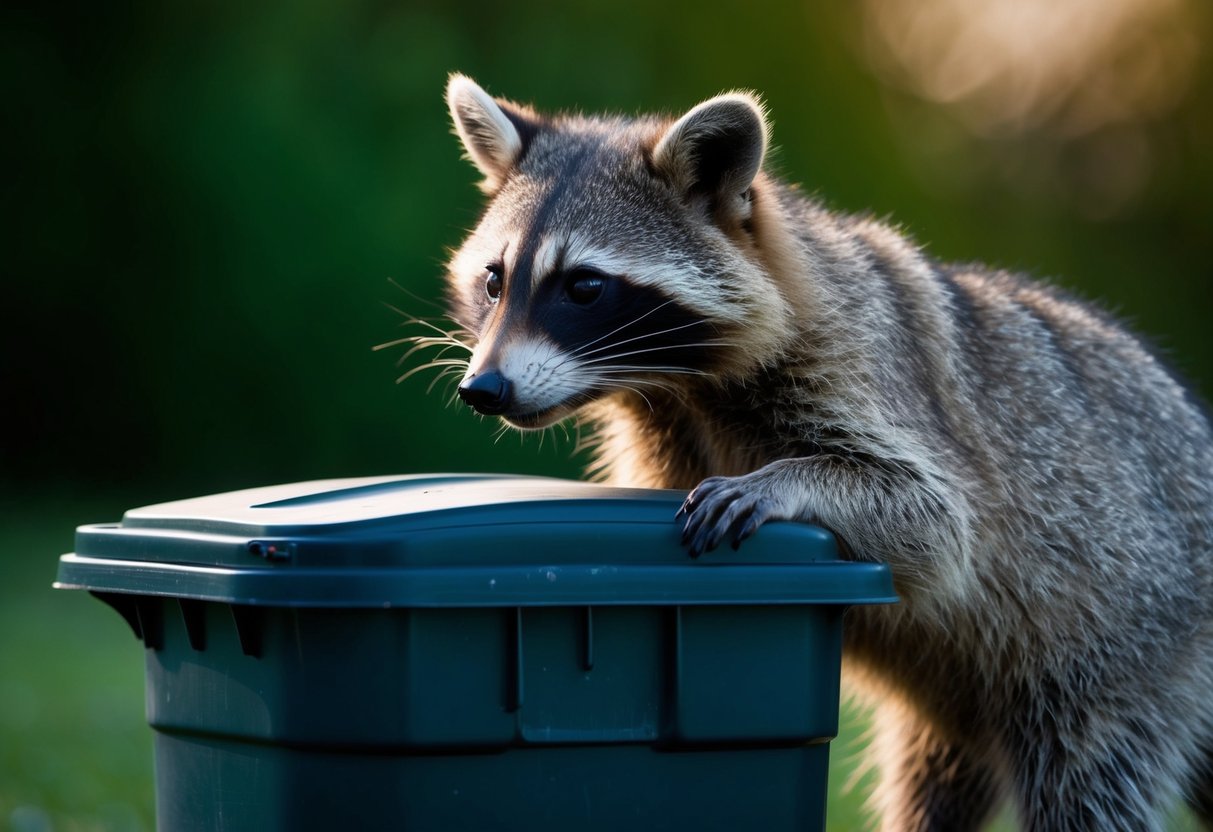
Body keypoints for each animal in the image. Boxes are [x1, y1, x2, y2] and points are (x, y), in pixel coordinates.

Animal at [432, 74, 1213, 831]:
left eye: (585, 286)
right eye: (495, 280)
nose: (484, 388)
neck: (678, 388)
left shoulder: (864, 369)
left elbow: (934, 520)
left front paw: (792, 480)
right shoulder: (666, 435)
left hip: (1124, 652)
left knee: (1087, 781)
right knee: (933, 784)